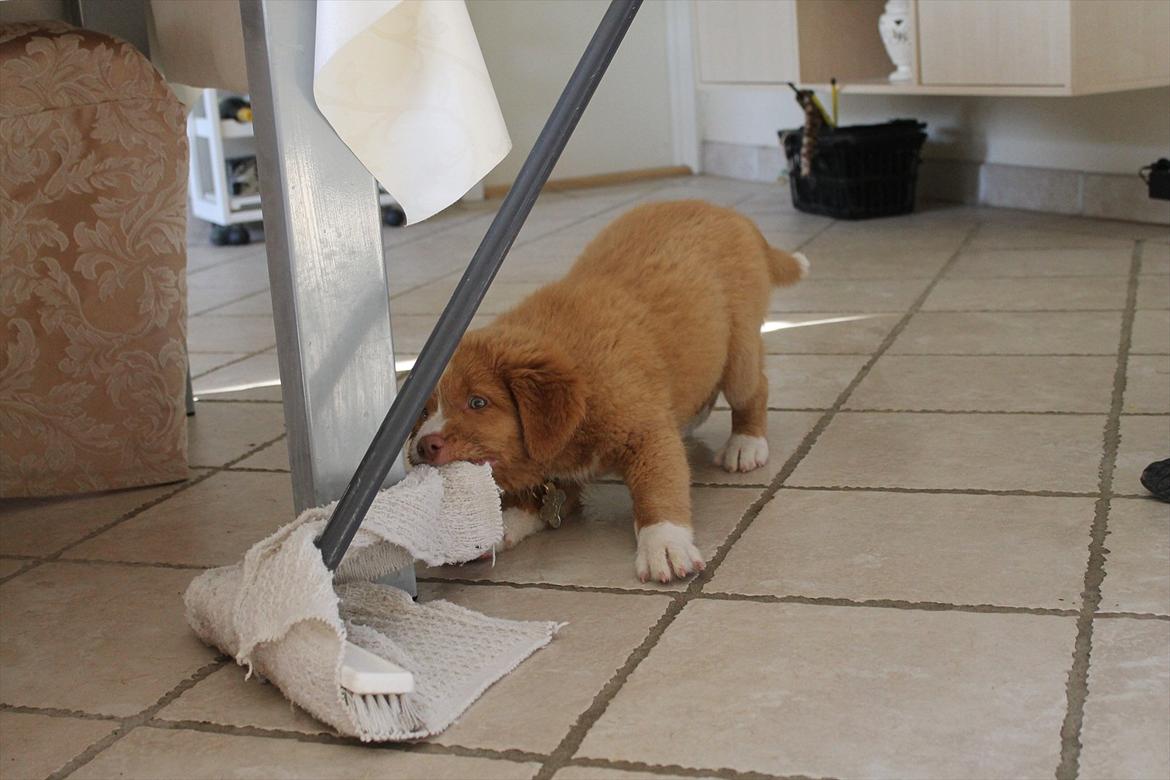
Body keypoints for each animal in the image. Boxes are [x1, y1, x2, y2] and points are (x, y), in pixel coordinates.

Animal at [409, 198, 804, 582]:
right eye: (423, 412)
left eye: (478, 402)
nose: (424, 446)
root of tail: (730, 214)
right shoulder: (556, 478)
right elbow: (533, 504)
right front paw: (489, 530)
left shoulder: (646, 434)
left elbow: (658, 490)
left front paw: (664, 544)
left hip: (739, 352)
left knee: (754, 389)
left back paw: (746, 444)